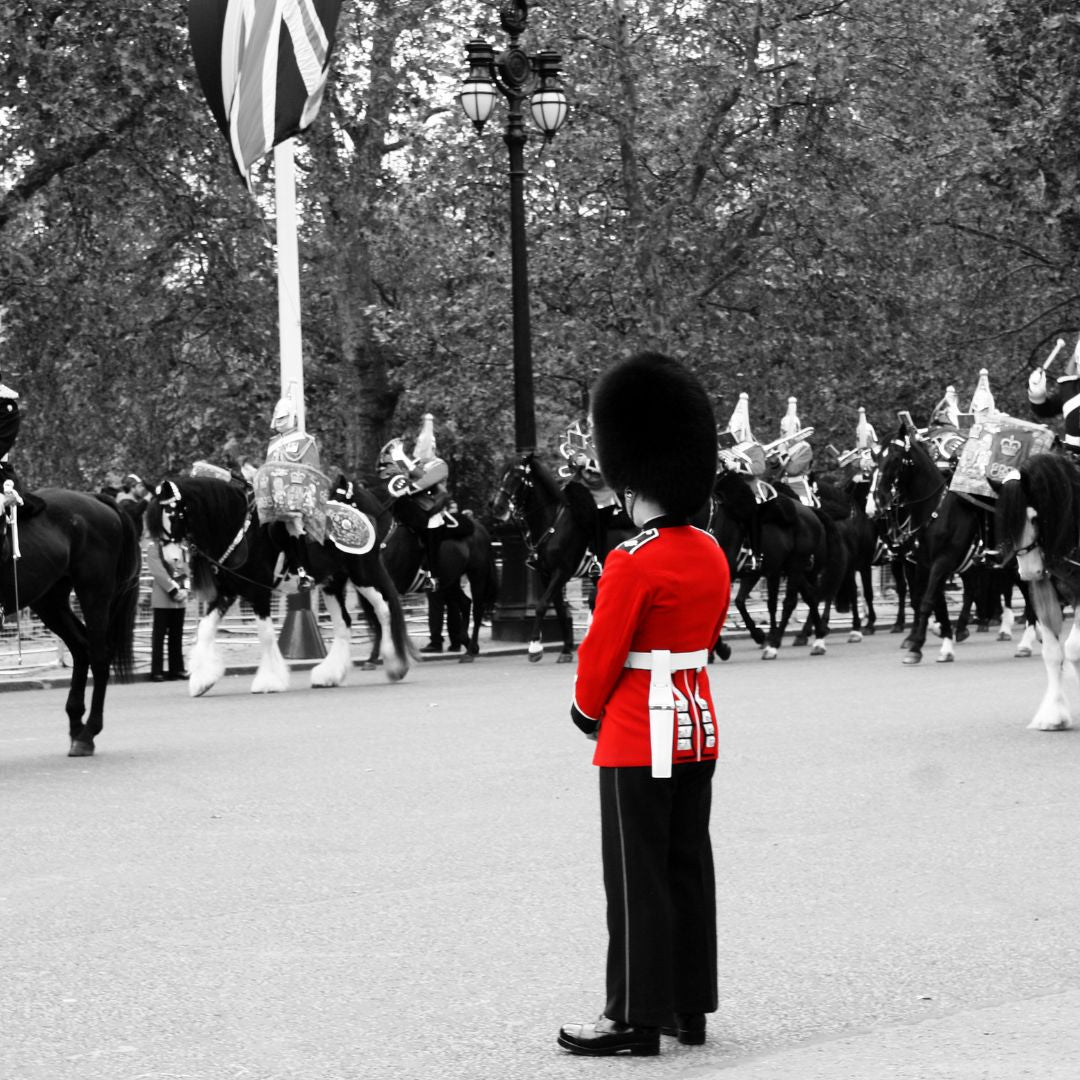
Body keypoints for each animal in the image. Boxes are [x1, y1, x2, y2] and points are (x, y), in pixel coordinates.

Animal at [0, 492, 139, 756]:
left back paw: (87, 734)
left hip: (94, 593)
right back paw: (76, 724)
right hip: (50, 601)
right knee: (81, 647)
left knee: (98, 655)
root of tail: (94, 497)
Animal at [144, 477, 412, 695]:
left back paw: (394, 663)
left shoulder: (258, 593)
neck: (241, 535)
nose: (171, 560)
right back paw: (329, 675)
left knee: (384, 610)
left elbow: (265, 636)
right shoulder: (227, 593)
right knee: (343, 623)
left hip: (363, 575)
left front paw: (269, 681)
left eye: (173, 514)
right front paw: (202, 680)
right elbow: (205, 629)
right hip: (332, 583)